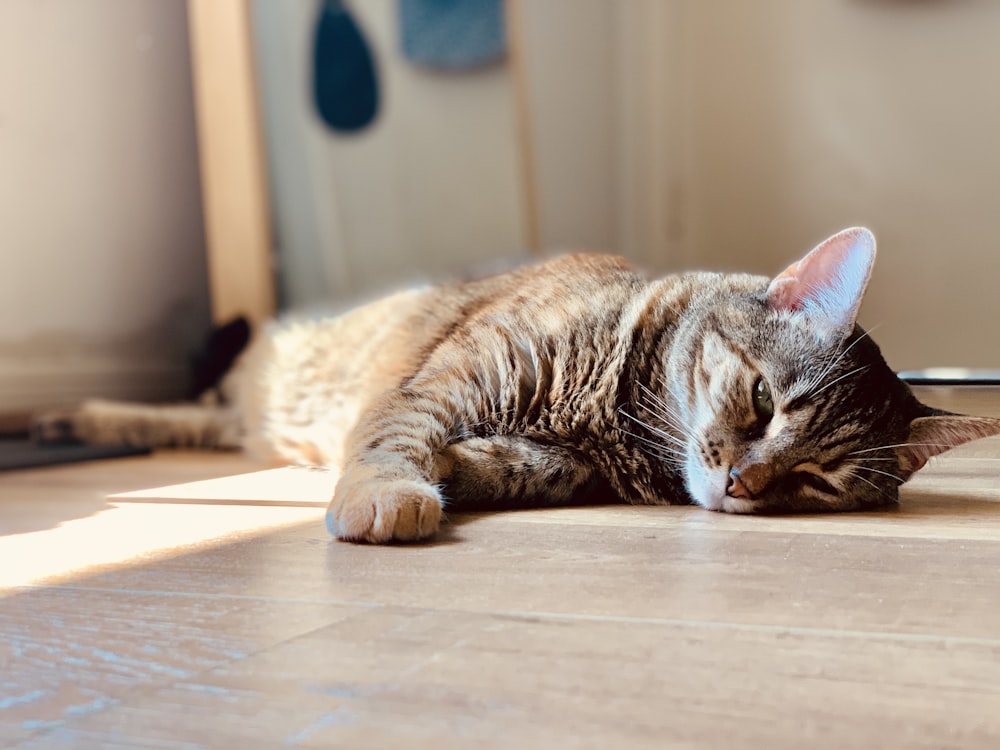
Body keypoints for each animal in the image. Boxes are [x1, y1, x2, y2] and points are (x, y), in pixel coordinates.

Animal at [37, 226, 1000, 544]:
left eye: (818, 482)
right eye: (765, 401)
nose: (744, 482)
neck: (617, 419)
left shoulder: (560, 465)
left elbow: (504, 466)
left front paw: (452, 475)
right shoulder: (444, 384)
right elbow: (393, 439)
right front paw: (388, 491)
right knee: (196, 411)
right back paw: (77, 413)